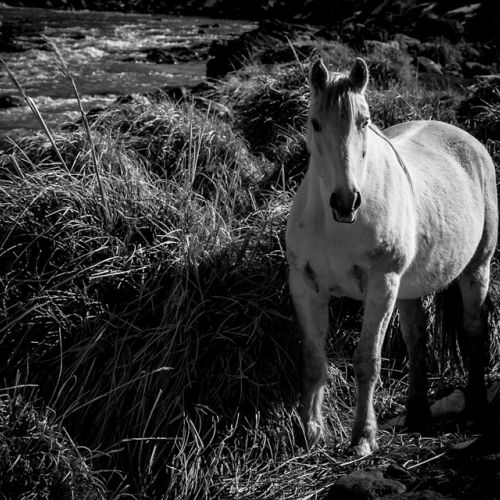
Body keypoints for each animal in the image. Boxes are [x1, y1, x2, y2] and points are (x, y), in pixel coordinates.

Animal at [288, 56, 498, 456]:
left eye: (364, 121)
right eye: (314, 122)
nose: (345, 202)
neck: (336, 225)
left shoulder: (380, 286)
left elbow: (367, 361)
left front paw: (362, 438)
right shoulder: (305, 288)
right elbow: (312, 361)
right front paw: (309, 434)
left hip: (476, 270)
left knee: (474, 333)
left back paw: (478, 407)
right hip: (408, 291)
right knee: (417, 340)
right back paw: (416, 412)